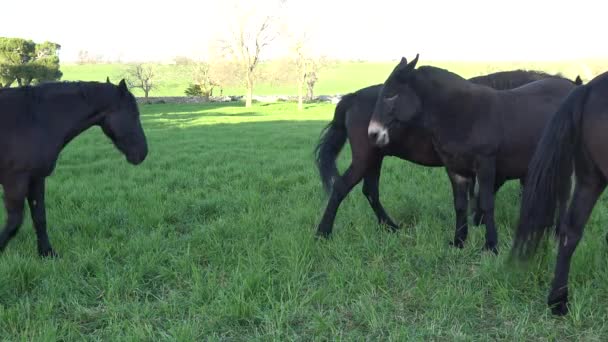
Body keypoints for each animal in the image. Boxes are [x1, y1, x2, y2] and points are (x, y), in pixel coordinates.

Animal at [0, 79, 147, 256]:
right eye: (134, 114)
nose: (143, 152)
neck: (35, 119)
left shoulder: (36, 178)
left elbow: (39, 217)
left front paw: (47, 252)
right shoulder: (15, 181)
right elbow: (14, 222)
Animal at [314, 67, 580, 238]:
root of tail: (351, 97)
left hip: (375, 158)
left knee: (370, 191)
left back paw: (389, 227)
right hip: (365, 157)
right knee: (342, 187)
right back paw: (324, 233)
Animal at [368, 54, 576, 254]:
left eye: (391, 96)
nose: (373, 133)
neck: (461, 115)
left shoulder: (485, 164)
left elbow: (486, 203)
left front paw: (491, 246)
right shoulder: (455, 169)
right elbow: (460, 205)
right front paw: (459, 241)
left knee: (564, 195)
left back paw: (558, 234)